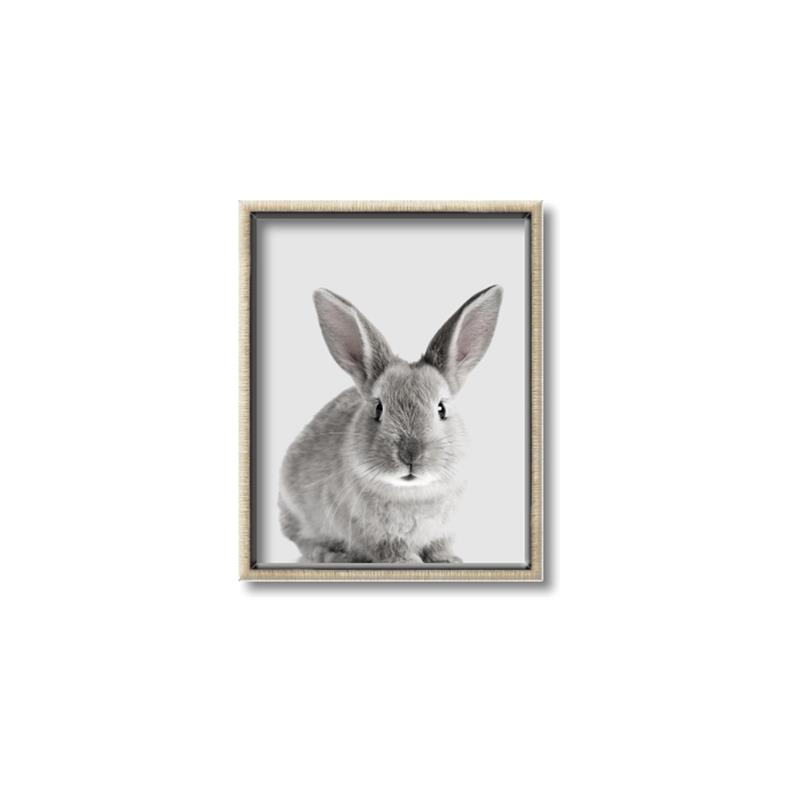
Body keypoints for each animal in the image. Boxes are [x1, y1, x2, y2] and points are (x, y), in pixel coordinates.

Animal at [278, 284, 503, 564]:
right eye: (378, 408)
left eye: (441, 409)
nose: (411, 454)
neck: (412, 494)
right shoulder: (373, 535)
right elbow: (389, 549)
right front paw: (409, 562)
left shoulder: (442, 532)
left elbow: (439, 546)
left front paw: (448, 560)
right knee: (303, 540)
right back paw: (332, 555)